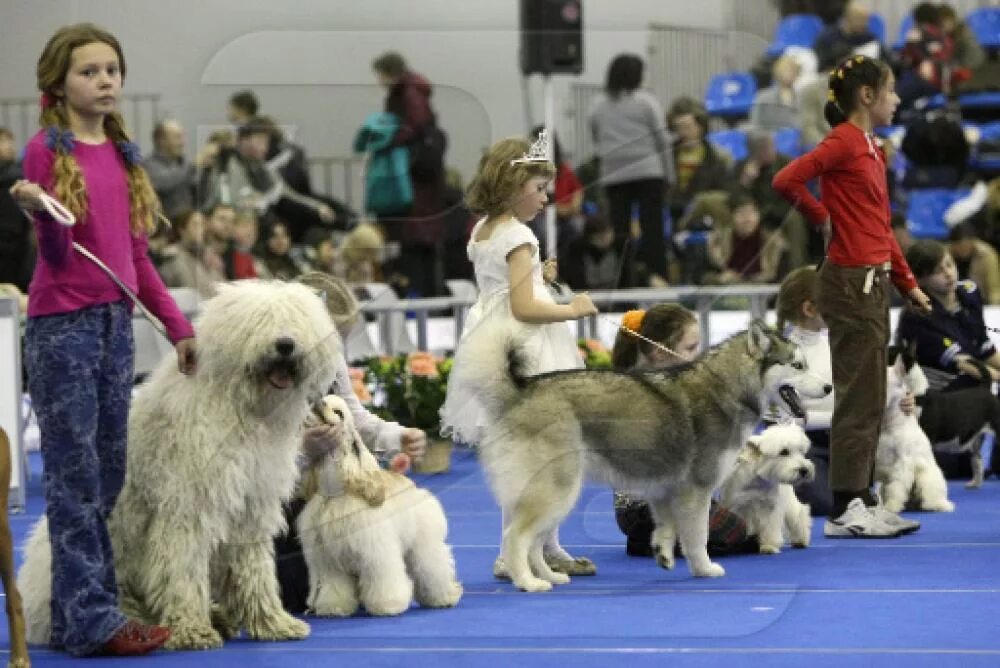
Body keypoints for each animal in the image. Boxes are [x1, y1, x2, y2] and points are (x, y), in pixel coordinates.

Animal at [17, 280, 340, 648]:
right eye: (260, 320)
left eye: (294, 319)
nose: (285, 344)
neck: (242, 406)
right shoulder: (188, 505)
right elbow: (182, 568)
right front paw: (190, 629)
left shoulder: (251, 504)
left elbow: (253, 569)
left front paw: (272, 622)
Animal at [294, 394, 462, 620]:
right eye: (324, 400)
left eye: (338, 412)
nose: (318, 401)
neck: (335, 492)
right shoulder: (329, 561)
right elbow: (335, 587)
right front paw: (333, 607)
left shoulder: (376, 552)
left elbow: (384, 579)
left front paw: (388, 605)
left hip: (424, 545)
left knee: (434, 567)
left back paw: (445, 597)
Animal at [724, 426, 816, 556]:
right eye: (784, 452)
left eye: (800, 451)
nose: (804, 470)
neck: (758, 482)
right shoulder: (739, 507)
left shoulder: (770, 508)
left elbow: (769, 528)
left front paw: (769, 546)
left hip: (790, 506)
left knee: (799, 517)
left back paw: (801, 541)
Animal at [876, 348, 952, 516]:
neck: (891, 423)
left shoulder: (903, 462)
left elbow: (896, 487)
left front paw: (891, 506)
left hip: (927, 478)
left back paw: (936, 505)